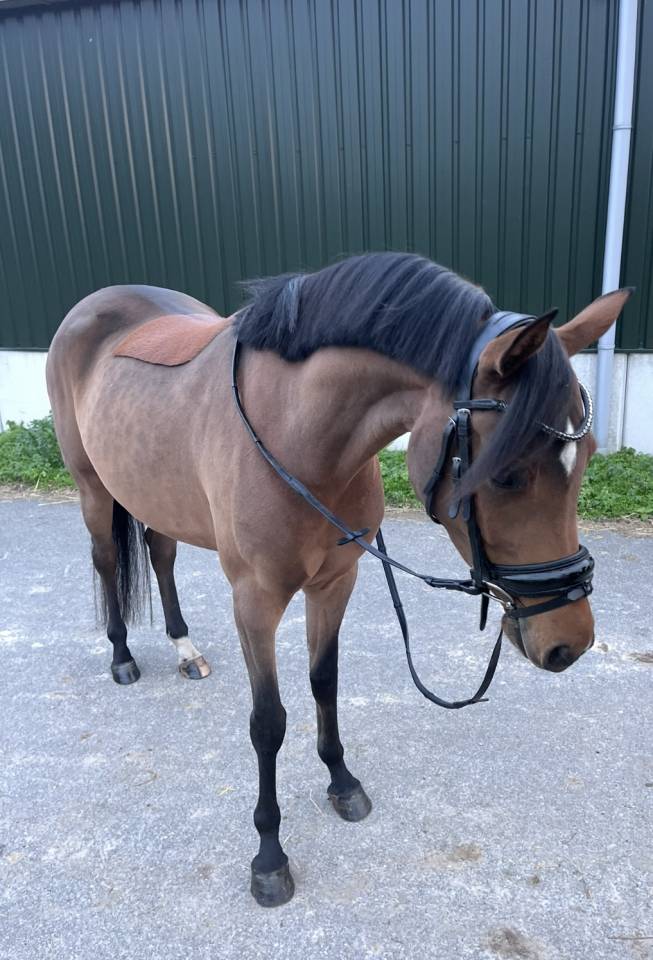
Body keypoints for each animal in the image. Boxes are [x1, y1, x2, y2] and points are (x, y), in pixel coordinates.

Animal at [46, 252, 630, 906]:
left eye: (586, 458)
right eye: (505, 475)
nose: (570, 640)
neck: (296, 432)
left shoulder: (336, 581)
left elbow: (324, 681)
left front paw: (341, 781)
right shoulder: (255, 601)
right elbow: (268, 722)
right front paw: (269, 855)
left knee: (161, 553)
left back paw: (184, 649)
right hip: (93, 488)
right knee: (106, 560)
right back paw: (122, 656)